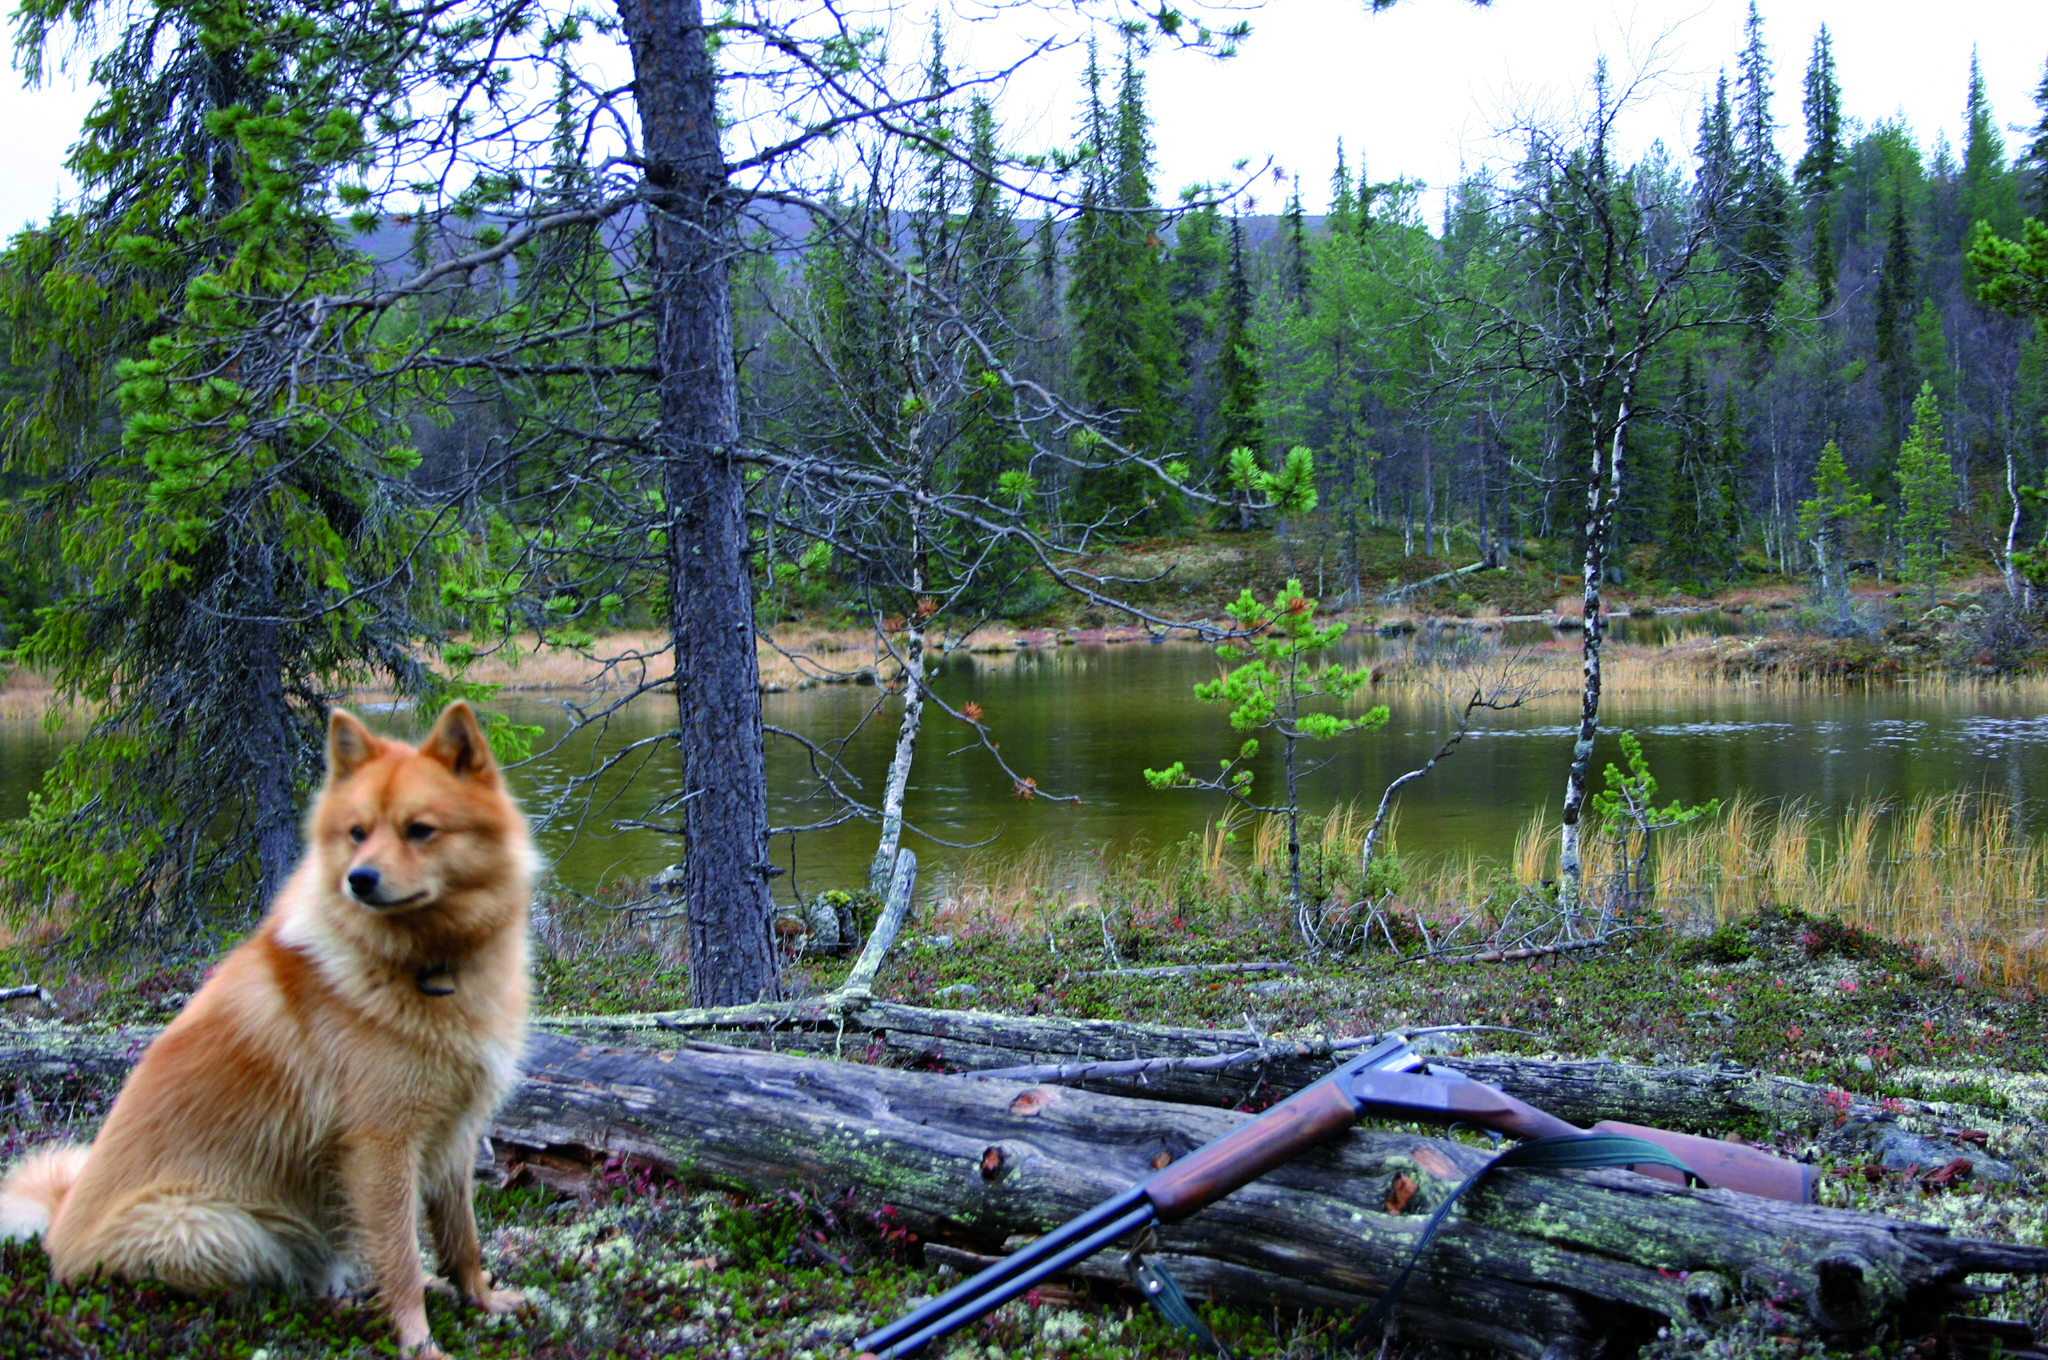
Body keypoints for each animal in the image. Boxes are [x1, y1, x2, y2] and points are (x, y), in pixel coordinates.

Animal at [0, 700, 536, 1360]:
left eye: (419, 830)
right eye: (357, 832)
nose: (359, 879)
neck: (423, 964)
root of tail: (59, 1228)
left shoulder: (454, 1134)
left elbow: (461, 1237)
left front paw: (481, 1299)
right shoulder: (381, 1147)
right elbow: (402, 1257)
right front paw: (418, 1342)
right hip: (211, 1226)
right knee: (263, 1282)